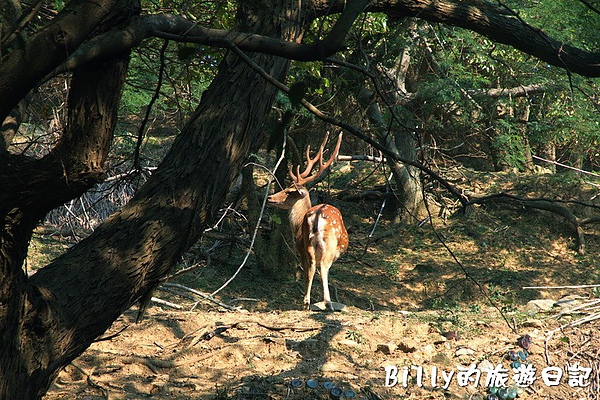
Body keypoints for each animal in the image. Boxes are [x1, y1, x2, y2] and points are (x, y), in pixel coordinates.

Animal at [268, 133, 346, 310]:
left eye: (288, 191)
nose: (269, 197)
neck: (297, 225)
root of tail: (316, 215)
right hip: (324, 243)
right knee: (319, 266)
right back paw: (321, 303)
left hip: (309, 243)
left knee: (313, 266)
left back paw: (311, 302)